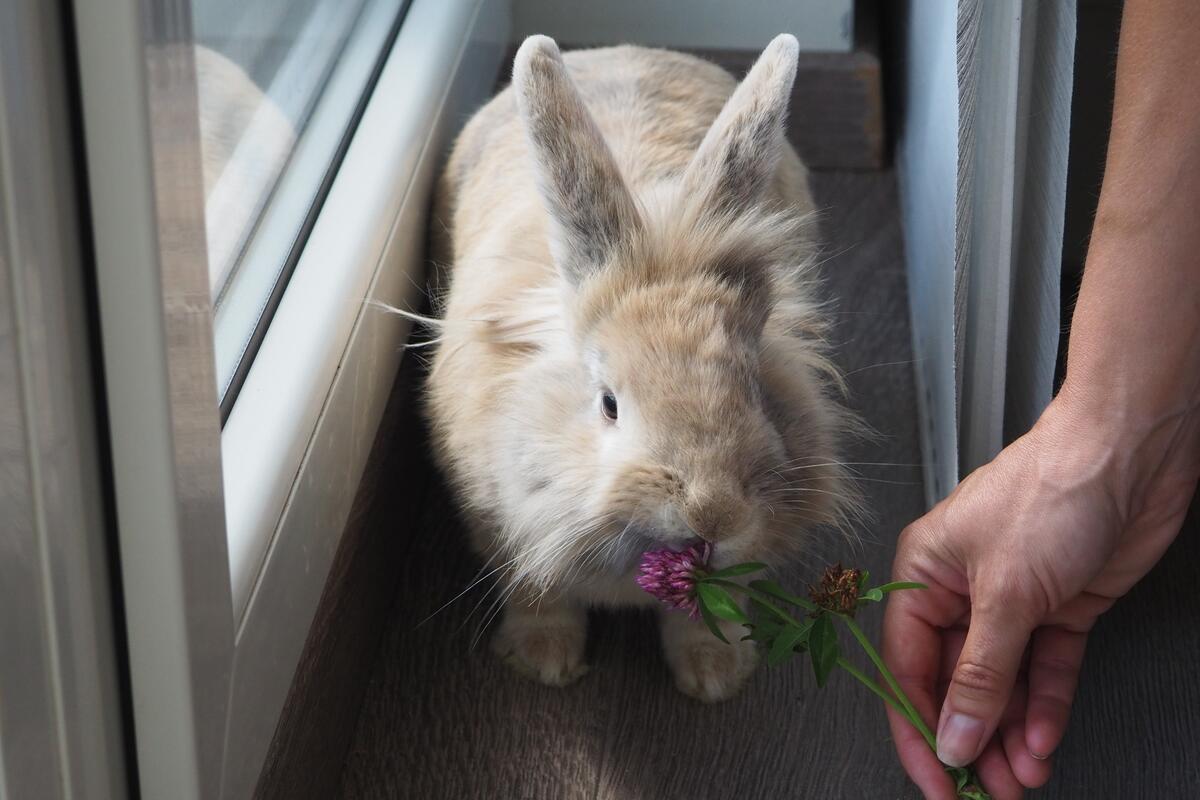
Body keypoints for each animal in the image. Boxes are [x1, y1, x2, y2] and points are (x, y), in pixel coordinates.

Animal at [422, 34, 854, 705]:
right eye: (609, 404)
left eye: (754, 387)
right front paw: (545, 661)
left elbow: (709, 610)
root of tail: (621, 46)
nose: (714, 514)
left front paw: (714, 675)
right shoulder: (501, 521)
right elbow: (536, 594)